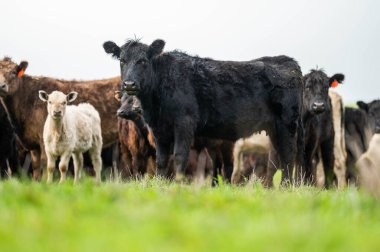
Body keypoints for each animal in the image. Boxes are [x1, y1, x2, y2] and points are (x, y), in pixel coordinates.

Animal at [103, 39, 302, 185]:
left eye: (143, 61)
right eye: (122, 60)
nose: (129, 84)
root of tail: (288, 62)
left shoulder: (184, 123)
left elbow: (179, 157)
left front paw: (178, 184)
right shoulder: (159, 129)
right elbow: (161, 160)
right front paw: (160, 184)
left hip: (287, 124)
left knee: (288, 155)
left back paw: (286, 186)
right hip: (274, 128)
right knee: (279, 157)